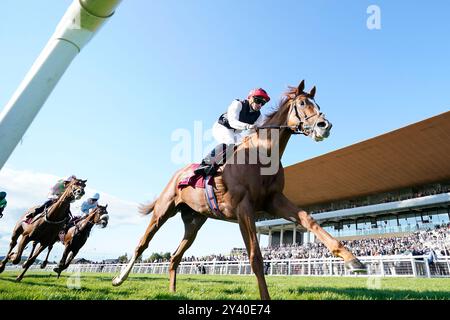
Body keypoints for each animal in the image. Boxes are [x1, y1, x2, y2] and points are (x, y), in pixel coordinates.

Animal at [111, 80, 366, 300]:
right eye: (303, 103)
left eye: (318, 106)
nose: (325, 126)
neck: (262, 155)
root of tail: (177, 174)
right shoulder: (244, 208)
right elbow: (255, 257)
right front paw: (265, 298)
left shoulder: (274, 200)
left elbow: (309, 220)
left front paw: (353, 261)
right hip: (164, 210)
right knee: (142, 243)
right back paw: (118, 279)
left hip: (194, 221)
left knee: (175, 256)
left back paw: (173, 292)